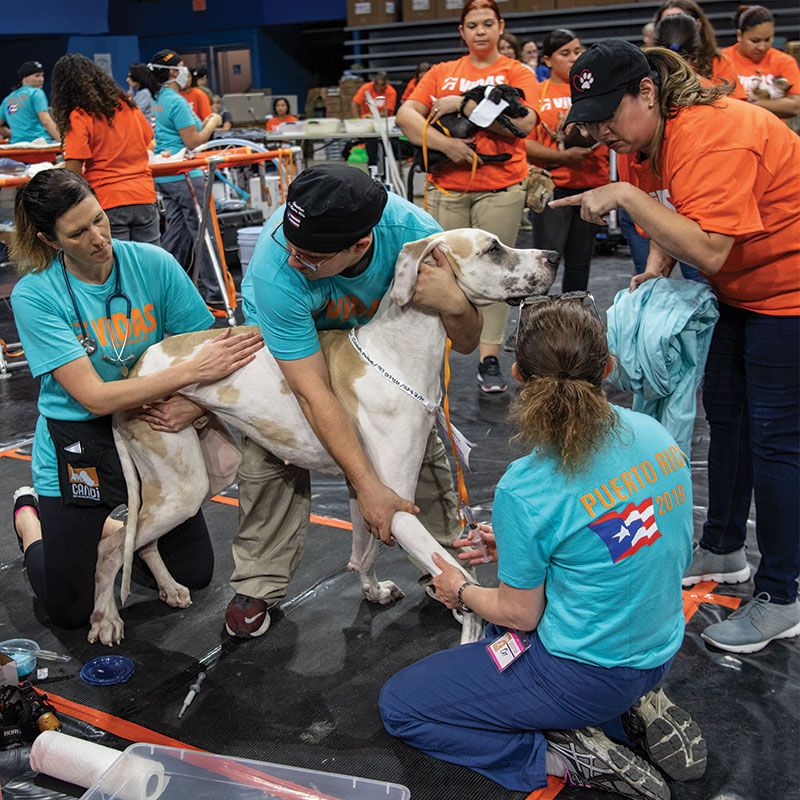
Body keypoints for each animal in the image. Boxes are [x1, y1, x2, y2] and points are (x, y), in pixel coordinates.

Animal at [89, 231, 556, 648]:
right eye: (493, 248)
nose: (552, 255)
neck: (393, 357)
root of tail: (136, 369)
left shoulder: (364, 493)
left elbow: (364, 551)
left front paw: (373, 590)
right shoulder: (395, 504)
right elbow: (454, 571)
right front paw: (470, 618)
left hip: (204, 475)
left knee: (139, 538)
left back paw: (169, 589)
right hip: (180, 489)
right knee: (113, 542)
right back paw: (106, 618)